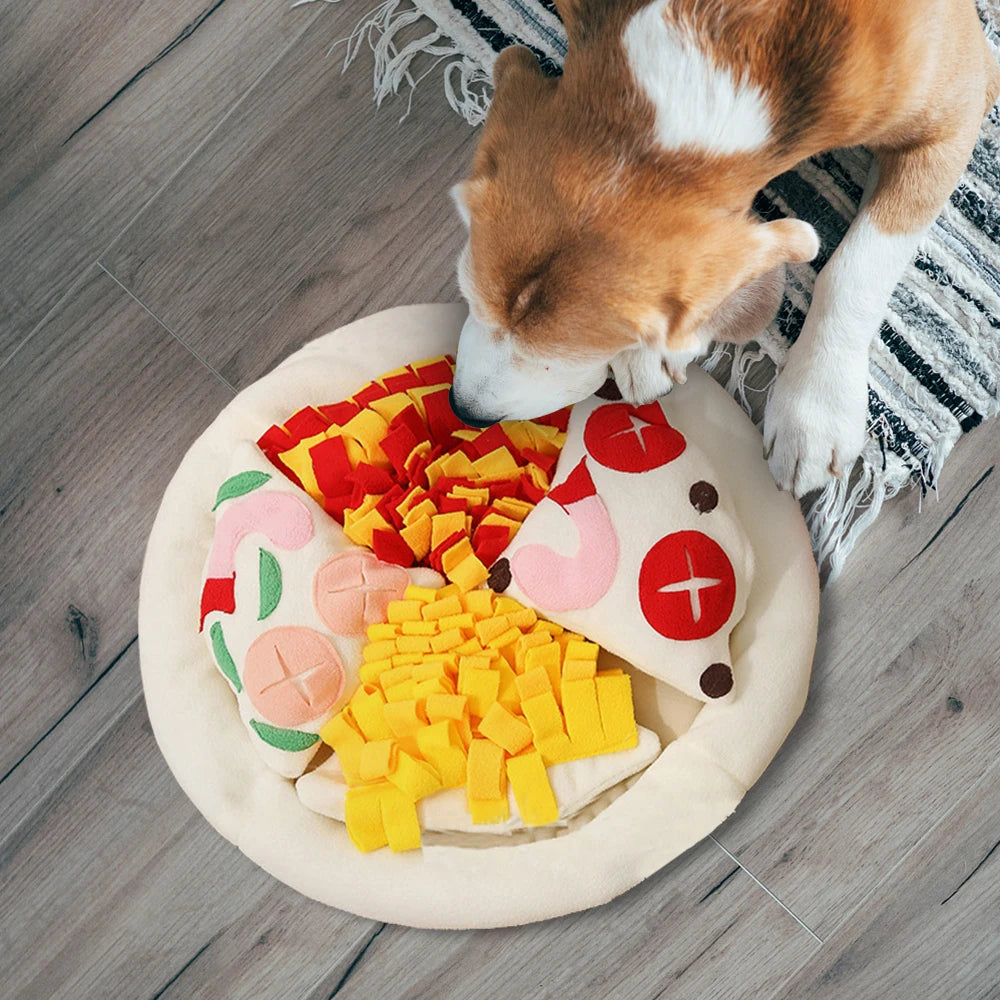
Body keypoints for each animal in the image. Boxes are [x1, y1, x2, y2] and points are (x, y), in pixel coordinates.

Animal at [452, 0, 1000, 496]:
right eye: (468, 297)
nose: (465, 409)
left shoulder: (954, 115)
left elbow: (857, 266)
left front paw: (815, 406)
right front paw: (653, 354)